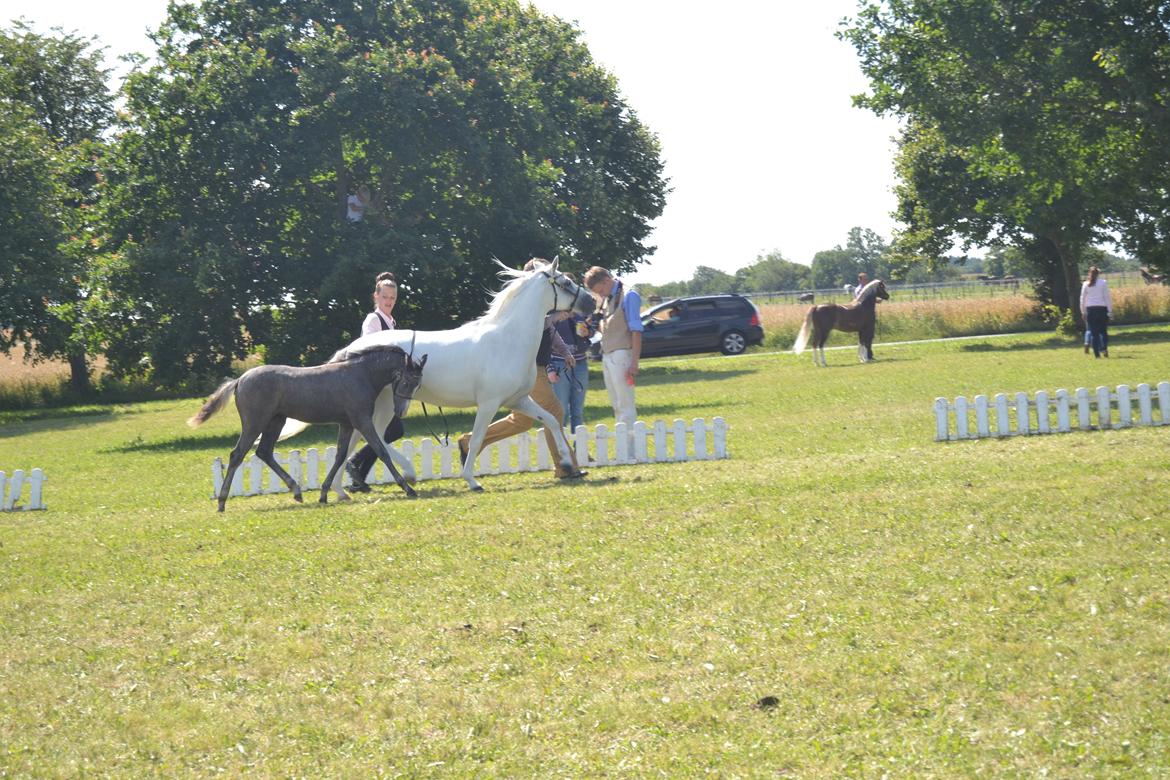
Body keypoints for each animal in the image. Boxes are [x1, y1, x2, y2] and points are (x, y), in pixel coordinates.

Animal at [280, 261, 594, 493]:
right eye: (565, 282)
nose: (591, 301)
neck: (507, 340)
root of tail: (351, 350)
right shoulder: (489, 403)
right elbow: (478, 438)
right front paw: (471, 480)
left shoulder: (518, 400)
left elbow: (551, 420)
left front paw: (568, 464)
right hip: (384, 405)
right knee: (374, 438)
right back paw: (403, 475)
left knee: (360, 439)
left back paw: (342, 489)